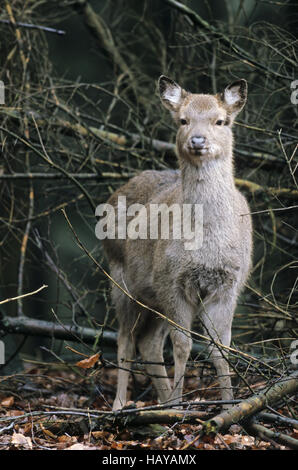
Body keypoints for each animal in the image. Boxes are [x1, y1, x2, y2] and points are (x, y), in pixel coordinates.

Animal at [101, 75, 253, 410]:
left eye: (220, 120)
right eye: (183, 120)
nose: (197, 140)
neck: (206, 244)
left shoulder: (229, 285)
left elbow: (221, 349)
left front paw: (229, 407)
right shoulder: (173, 280)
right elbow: (183, 345)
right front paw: (180, 408)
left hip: (153, 295)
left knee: (148, 342)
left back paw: (163, 399)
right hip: (121, 278)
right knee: (125, 340)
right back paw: (122, 405)